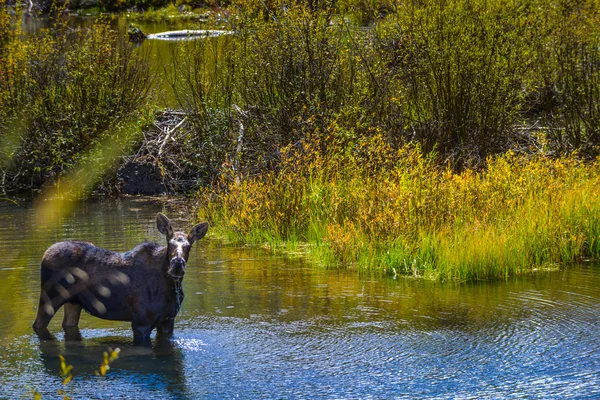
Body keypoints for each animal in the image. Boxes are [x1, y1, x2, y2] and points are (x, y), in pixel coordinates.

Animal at [31, 214, 209, 342]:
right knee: (37, 324)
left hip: (73, 302)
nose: (177, 264)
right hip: (49, 298)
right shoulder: (141, 323)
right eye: (170, 243)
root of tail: (45, 255)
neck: (170, 287)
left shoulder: (167, 321)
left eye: (188, 246)